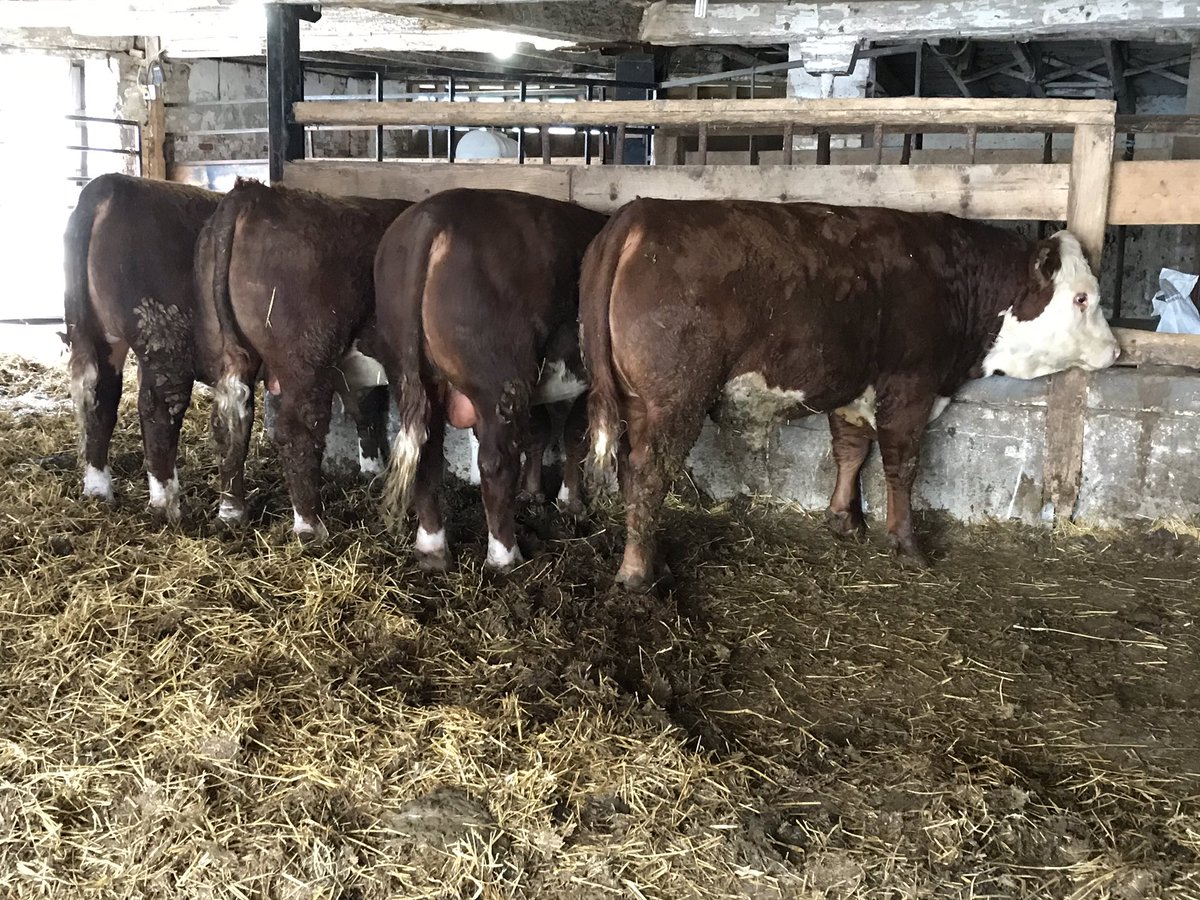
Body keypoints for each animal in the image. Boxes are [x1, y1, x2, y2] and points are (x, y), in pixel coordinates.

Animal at [63, 173, 220, 522]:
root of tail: (112, 184)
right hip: (164, 340)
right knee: (158, 410)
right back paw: (167, 505)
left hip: (100, 335)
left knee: (101, 400)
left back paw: (98, 491)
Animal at [194, 178, 411, 541]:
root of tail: (252, 193)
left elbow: (366, 410)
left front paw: (373, 473)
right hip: (306, 359)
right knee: (299, 429)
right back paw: (310, 525)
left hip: (225, 348)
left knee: (230, 423)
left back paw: (232, 512)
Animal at [374, 188, 606, 571]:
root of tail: (432, 216)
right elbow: (574, 436)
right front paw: (570, 501)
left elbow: (539, 432)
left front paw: (534, 492)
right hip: (501, 380)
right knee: (496, 462)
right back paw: (505, 556)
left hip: (410, 373)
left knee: (428, 455)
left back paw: (432, 549)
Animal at [581, 199, 1121, 590]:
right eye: (1082, 298)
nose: (1116, 350)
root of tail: (640, 214)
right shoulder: (910, 385)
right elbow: (901, 464)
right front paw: (907, 545)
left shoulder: (854, 386)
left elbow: (851, 449)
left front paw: (845, 519)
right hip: (675, 400)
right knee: (649, 474)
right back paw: (638, 575)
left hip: (637, 401)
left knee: (629, 467)